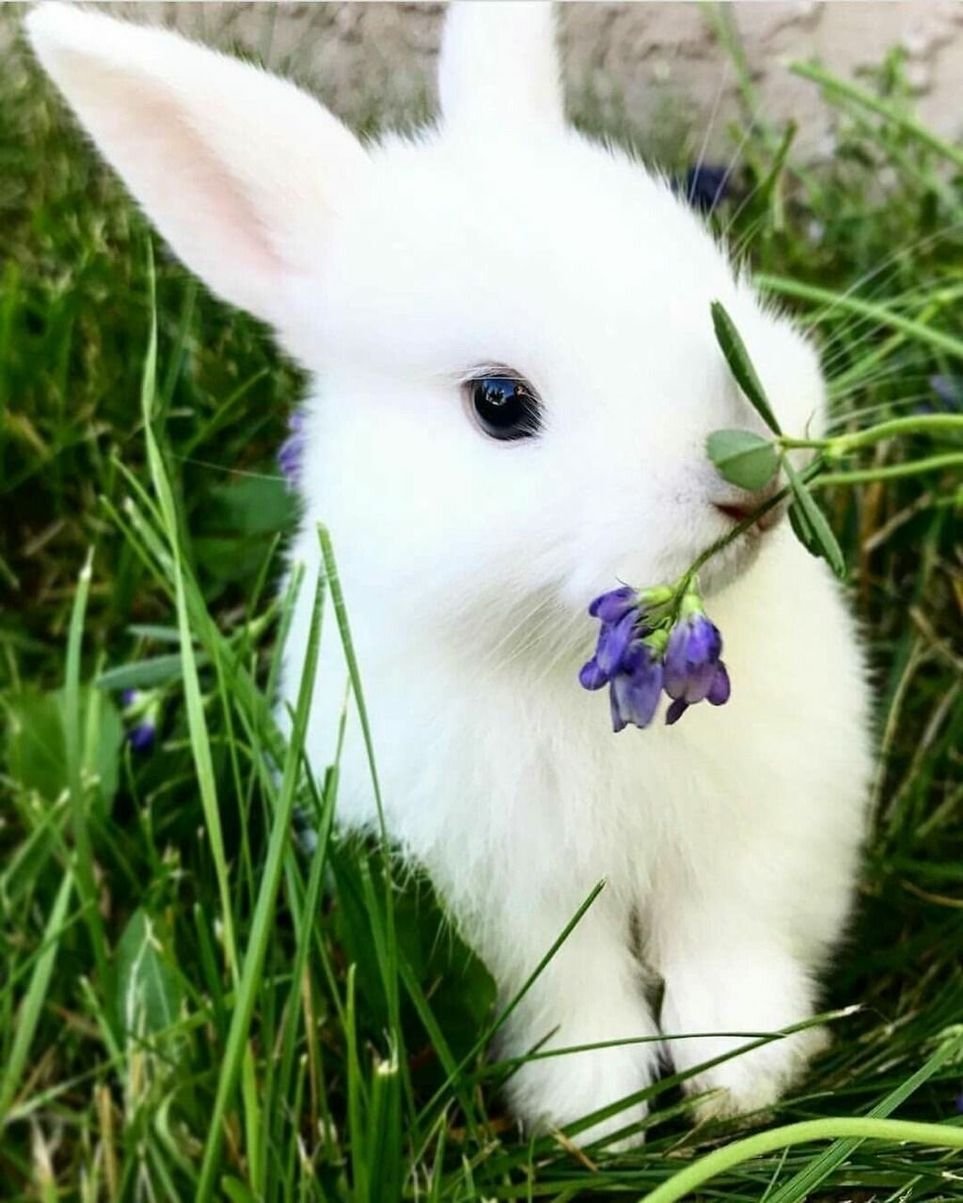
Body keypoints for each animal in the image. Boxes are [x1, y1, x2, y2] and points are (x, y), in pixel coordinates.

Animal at [30, 0, 871, 1145]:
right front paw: (596, 1118)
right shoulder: (511, 904)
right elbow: (575, 1000)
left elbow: (727, 952)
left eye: (710, 273)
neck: (565, 666)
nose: (748, 486)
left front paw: (741, 1080)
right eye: (499, 403)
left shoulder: (759, 842)